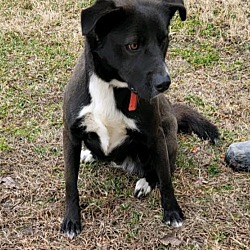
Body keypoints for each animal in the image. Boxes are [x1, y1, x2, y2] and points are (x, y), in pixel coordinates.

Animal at [60, 0, 219, 238]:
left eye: (163, 40)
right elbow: (71, 183)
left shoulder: (155, 136)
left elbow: (166, 179)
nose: (164, 84)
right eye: (133, 45)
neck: (110, 87)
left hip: (166, 140)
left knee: (161, 169)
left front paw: (172, 211)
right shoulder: (70, 135)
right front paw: (71, 220)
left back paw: (145, 182)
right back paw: (90, 155)